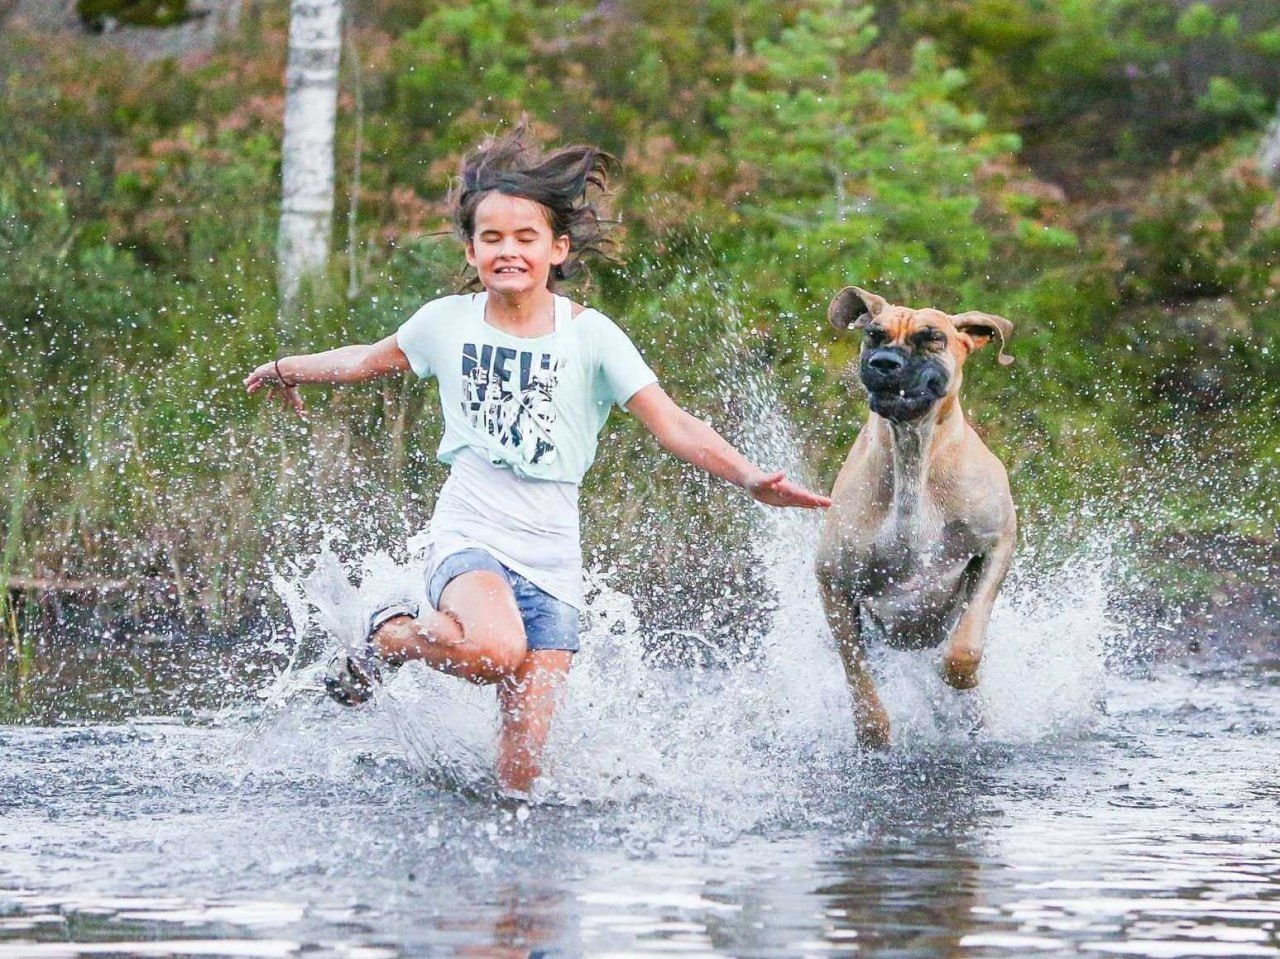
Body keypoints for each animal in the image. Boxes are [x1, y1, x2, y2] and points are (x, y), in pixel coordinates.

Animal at [814, 286, 1013, 747]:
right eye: (873, 333)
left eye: (931, 338)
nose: (884, 363)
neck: (913, 455)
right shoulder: (833, 583)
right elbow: (857, 674)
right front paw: (873, 731)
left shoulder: (998, 542)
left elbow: (966, 645)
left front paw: (958, 676)